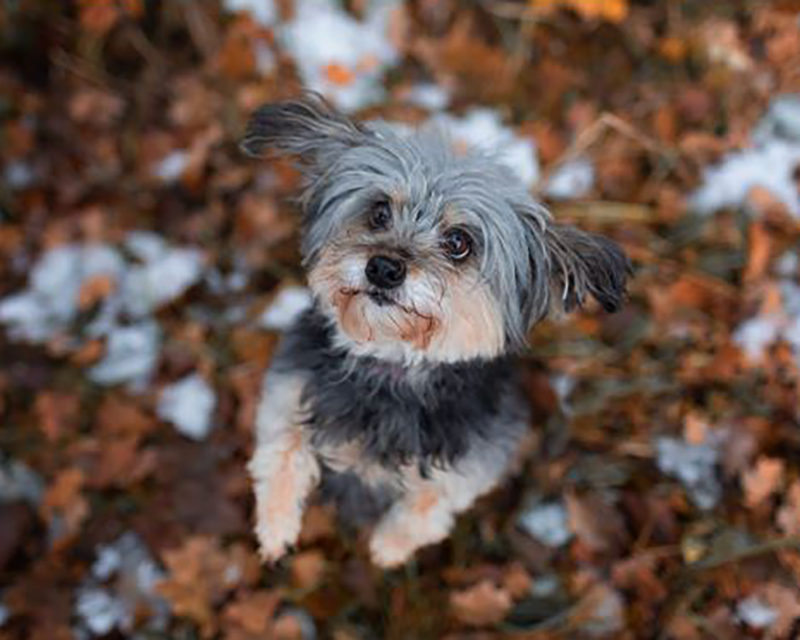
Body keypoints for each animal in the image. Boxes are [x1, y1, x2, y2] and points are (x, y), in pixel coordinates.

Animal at [241, 94, 628, 564]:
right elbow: (282, 451)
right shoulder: (287, 390)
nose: (383, 268)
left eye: (459, 242)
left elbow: (427, 508)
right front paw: (276, 529)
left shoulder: (472, 467)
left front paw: (388, 548)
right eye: (379, 212)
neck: (392, 368)